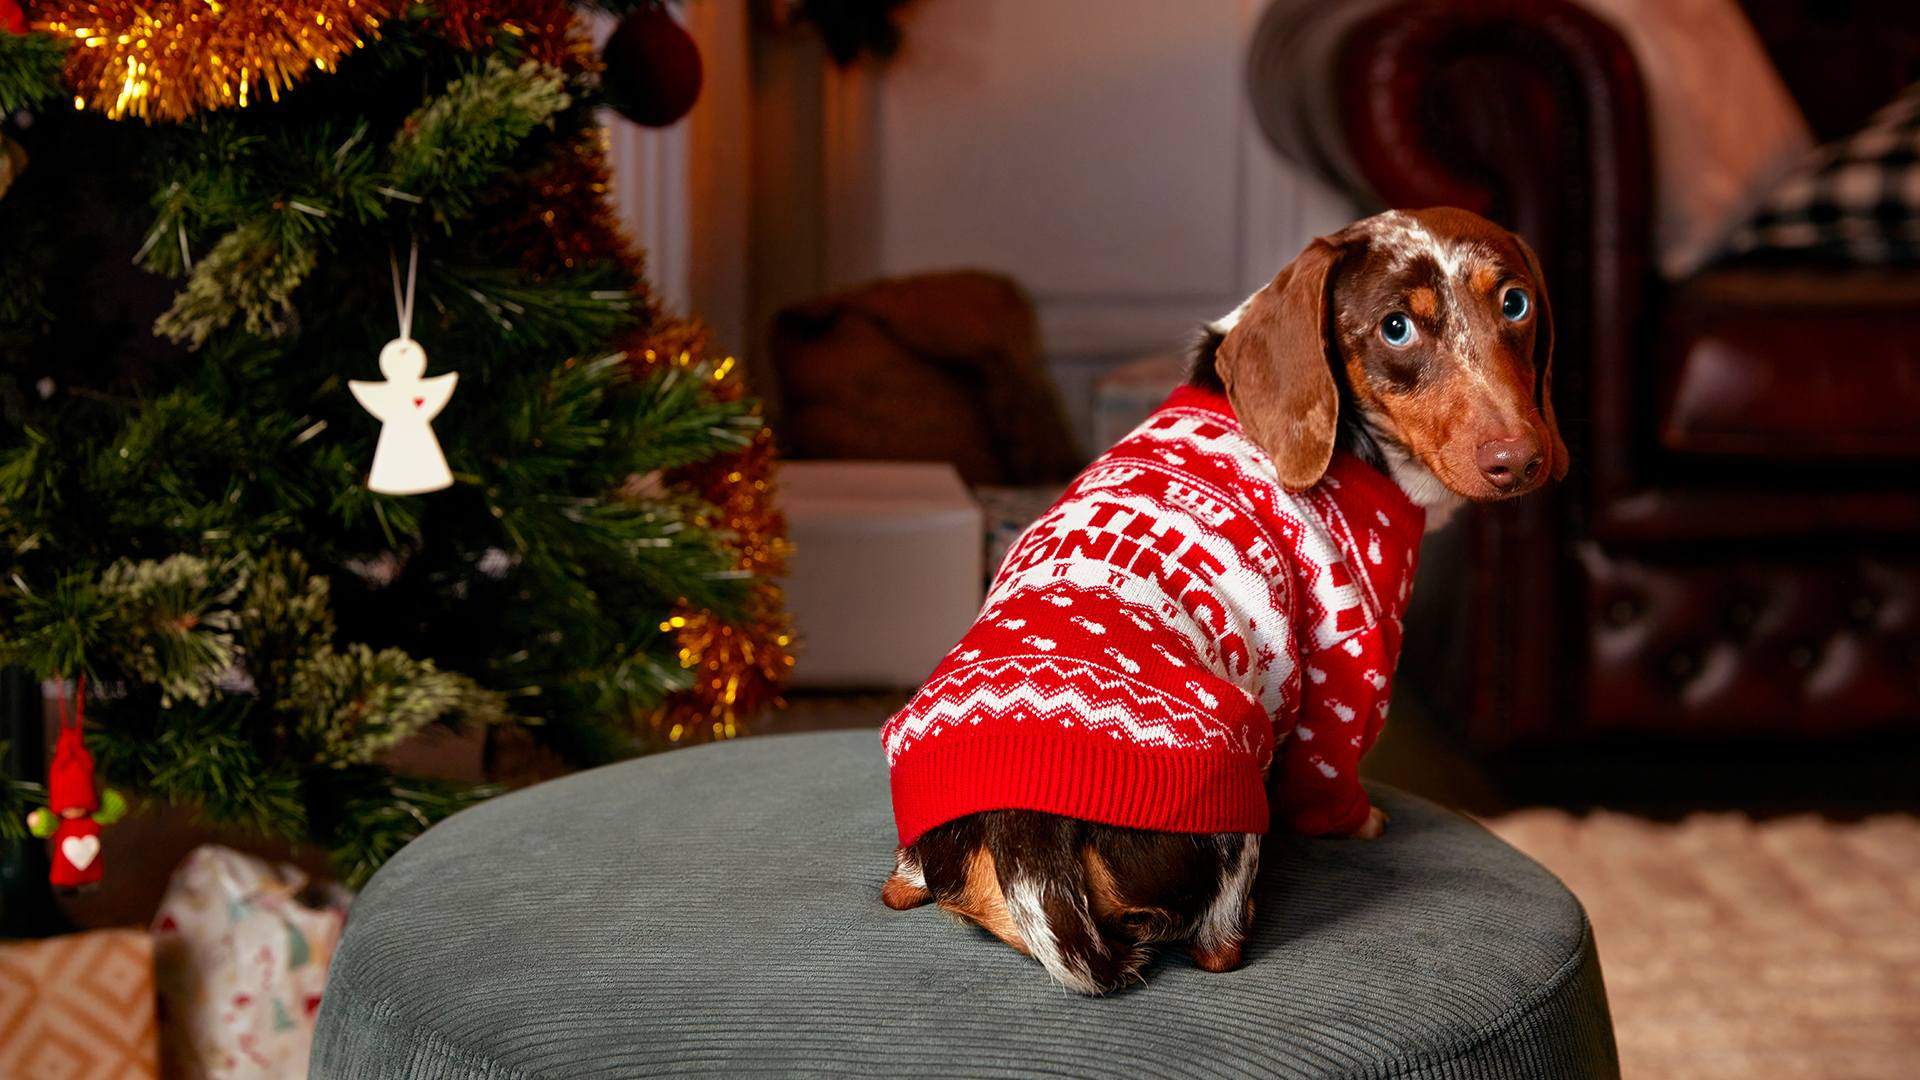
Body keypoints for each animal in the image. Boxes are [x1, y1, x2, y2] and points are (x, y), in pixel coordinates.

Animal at [879, 203, 1566, 991]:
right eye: (1396, 327)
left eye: (1515, 303)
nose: (1521, 460)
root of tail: (1026, 838)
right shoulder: (1352, 663)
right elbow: (1333, 778)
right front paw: (1361, 822)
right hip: (1236, 796)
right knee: (1218, 943)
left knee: (903, 885)